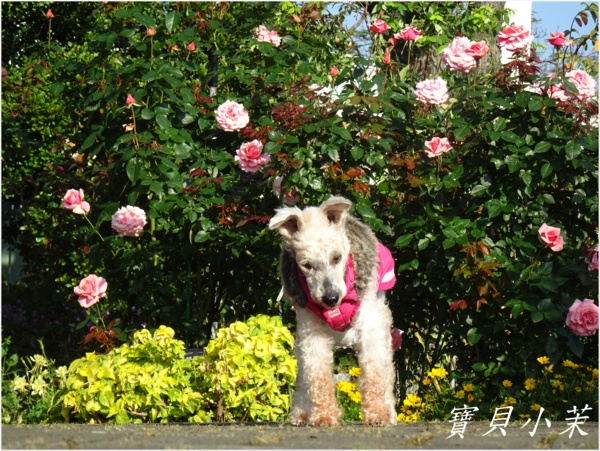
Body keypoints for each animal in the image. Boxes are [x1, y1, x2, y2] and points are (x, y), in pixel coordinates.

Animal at [269, 196, 397, 426]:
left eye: (337, 257)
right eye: (307, 265)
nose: (330, 299)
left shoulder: (370, 327)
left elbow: (374, 371)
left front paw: (377, 414)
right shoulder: (312, 331)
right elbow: (317, 373)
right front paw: (323, 416)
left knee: (387, 371)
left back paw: (389, 411)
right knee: (304, 377)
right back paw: (301, 413)